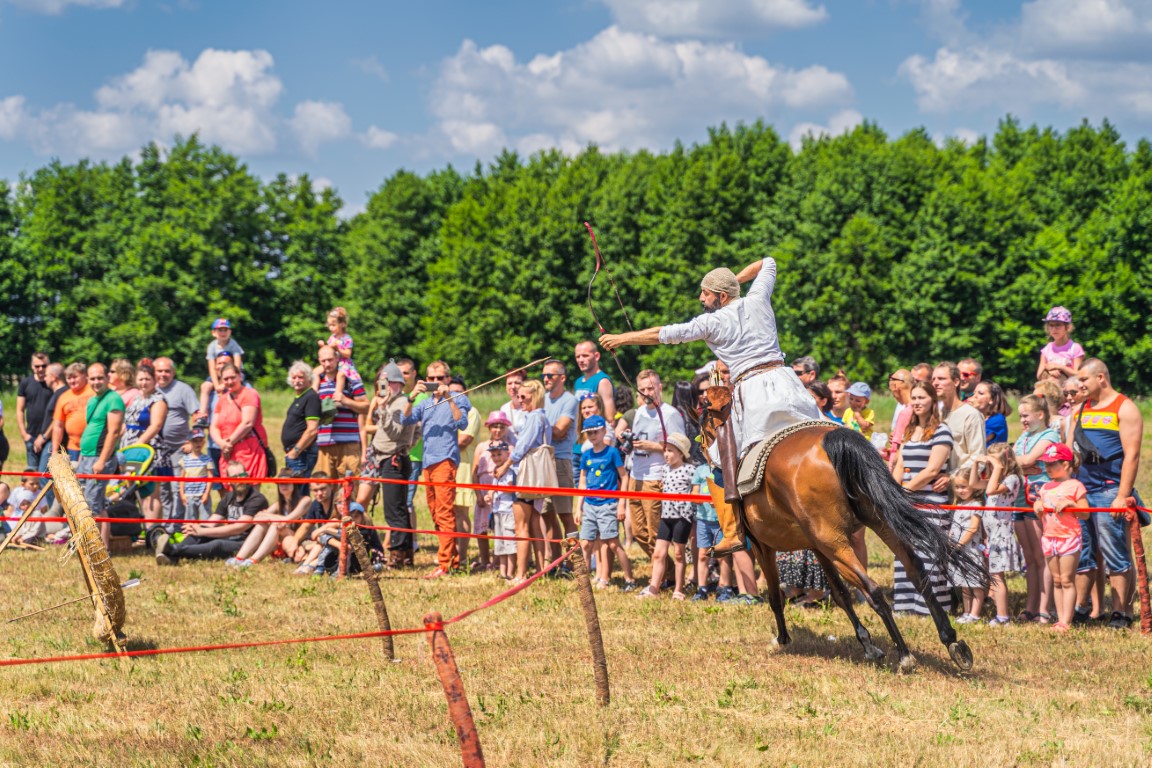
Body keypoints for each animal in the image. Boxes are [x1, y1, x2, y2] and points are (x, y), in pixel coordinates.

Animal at [695, 386, 986, 667]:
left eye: (706, 422)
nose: (703, 452)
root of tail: (836, 440)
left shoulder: (762, 546)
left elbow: (776, 597)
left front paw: (782, 639)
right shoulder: (818, 547)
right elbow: (840, 593)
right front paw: (867, 644)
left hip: (834, 542)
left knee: (873, 589)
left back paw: (905, 655)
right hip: (872, 526)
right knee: (916, 569)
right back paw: (952, 642)